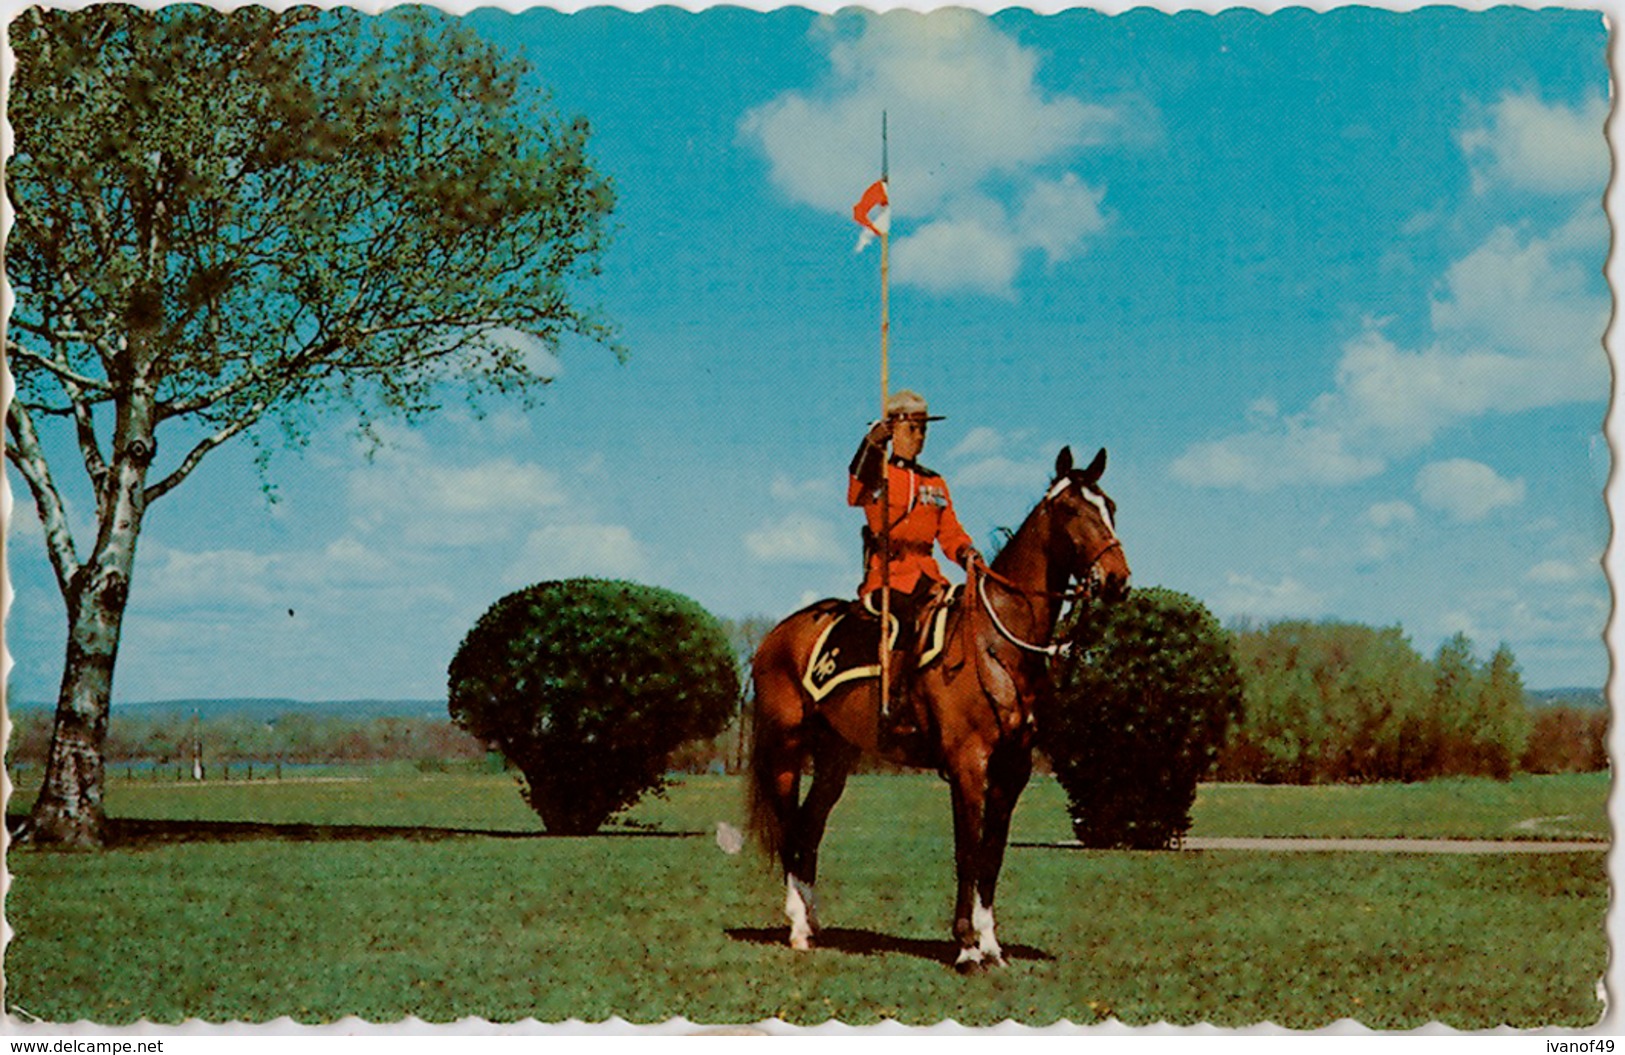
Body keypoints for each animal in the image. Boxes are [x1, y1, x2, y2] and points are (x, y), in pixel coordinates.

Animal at [744, 438, 1131, 968]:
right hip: (785, 747)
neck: (998, 640)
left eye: (1110, 506)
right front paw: (966, 946)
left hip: (835, 755)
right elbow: (967, 850)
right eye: (1072, 509)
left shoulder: (1013, 768)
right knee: (788, 827)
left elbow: (992, 853)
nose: (1117, 579)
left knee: (809, 826)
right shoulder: (968, 761)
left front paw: (991, 944)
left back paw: (815, 920)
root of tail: (775, 636)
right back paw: (799, 927)